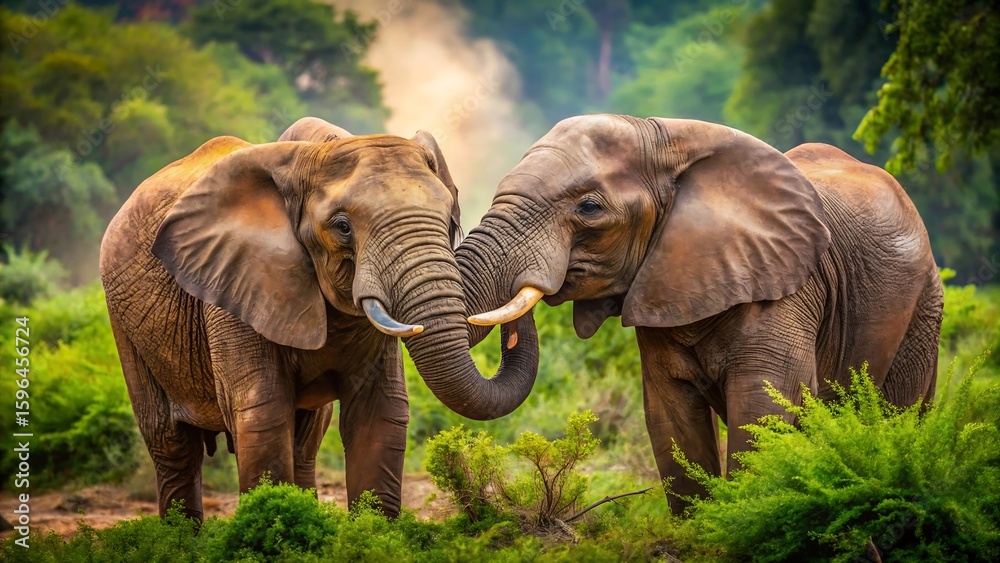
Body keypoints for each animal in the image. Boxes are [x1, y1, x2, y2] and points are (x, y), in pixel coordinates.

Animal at [99, 117, 539, 520]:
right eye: (342, 227)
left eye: (450, 222)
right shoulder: (234, 284)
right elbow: (262, 413)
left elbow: (379, 413)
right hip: (124, 322)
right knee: (170, 442)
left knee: (304, 441)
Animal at [455, 114, 943, 513]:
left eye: (589, 208)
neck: (670, 139)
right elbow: (670, 421)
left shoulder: (787, 287)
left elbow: (764, 405)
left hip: (924, 306)